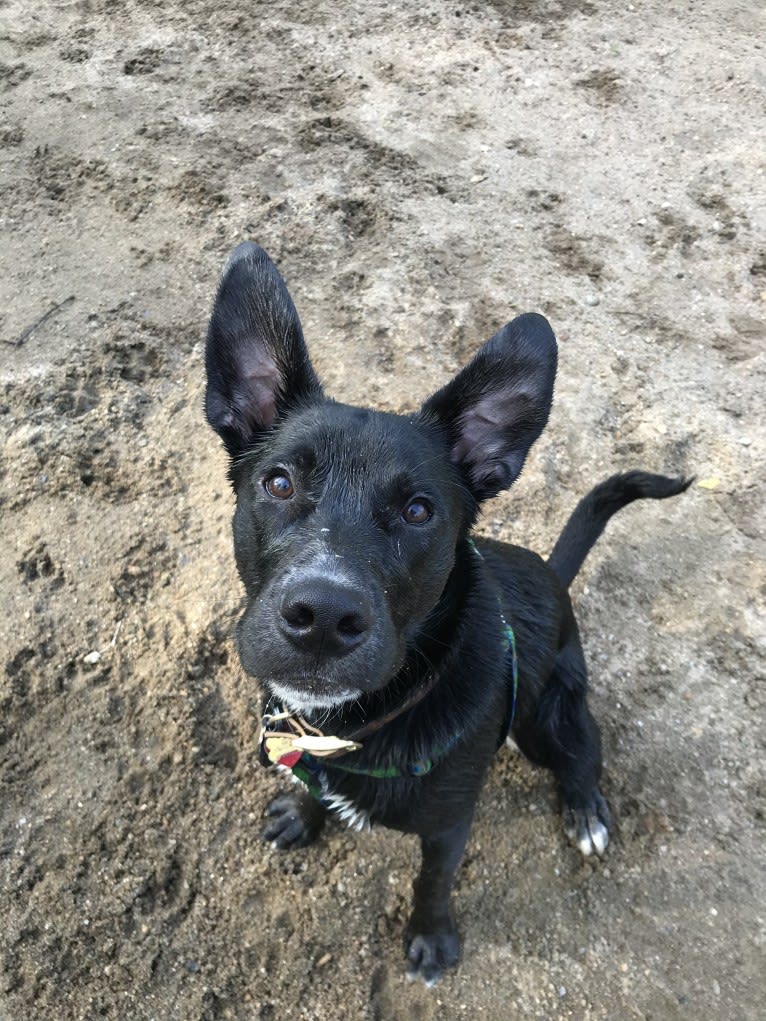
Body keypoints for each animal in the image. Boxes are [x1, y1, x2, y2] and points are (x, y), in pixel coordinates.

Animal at [204, 242, 690, 984]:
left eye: (417, 510)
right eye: (279, 482)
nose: (323, 616)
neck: (361, 723)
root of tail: (555, 577)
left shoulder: (448, 824)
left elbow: (431, 881)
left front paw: (431, 938)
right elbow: (315, 791)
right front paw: (304, 811)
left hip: (551, 715)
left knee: (584, 754)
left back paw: (584, 810)